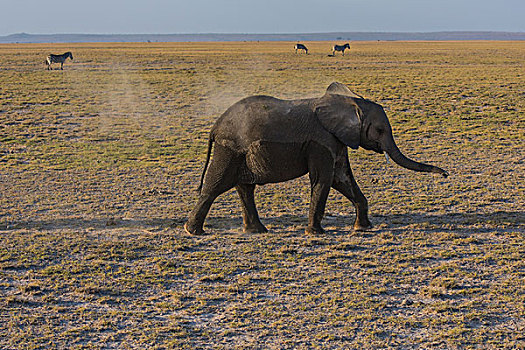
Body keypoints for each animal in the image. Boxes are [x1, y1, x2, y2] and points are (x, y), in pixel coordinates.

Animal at [184, 82, 446, 235]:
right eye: (380, 130)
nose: (445, 174)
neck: (351, 103)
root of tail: (216, 126)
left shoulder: (337, 141)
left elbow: (342, 179)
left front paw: (363, 228)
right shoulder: (321, 141)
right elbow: (325, 179)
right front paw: (316, 233)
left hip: (240, 152)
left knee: (245, 188)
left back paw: (257, 231)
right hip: (230, 149)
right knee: (216, 185)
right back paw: (193, 231)